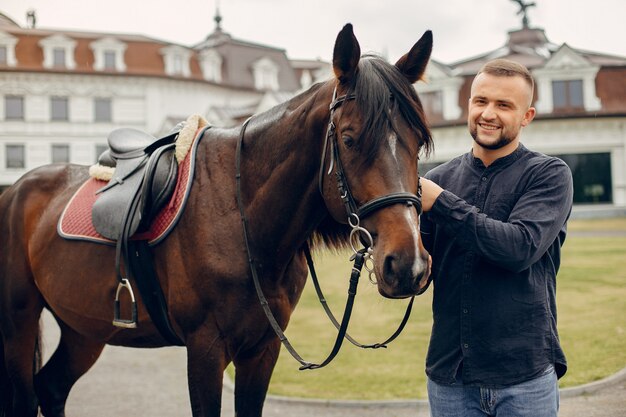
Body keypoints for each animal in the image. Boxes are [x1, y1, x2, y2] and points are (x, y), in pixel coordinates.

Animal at [0, 23, 432, 416]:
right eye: (348, 139)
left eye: (418, 144)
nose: (407, 264)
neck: (243, 221)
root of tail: (15, 190)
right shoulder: (205, 350)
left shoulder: (262, 349)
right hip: (19, 321)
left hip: (84, 326)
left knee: (52, 388)